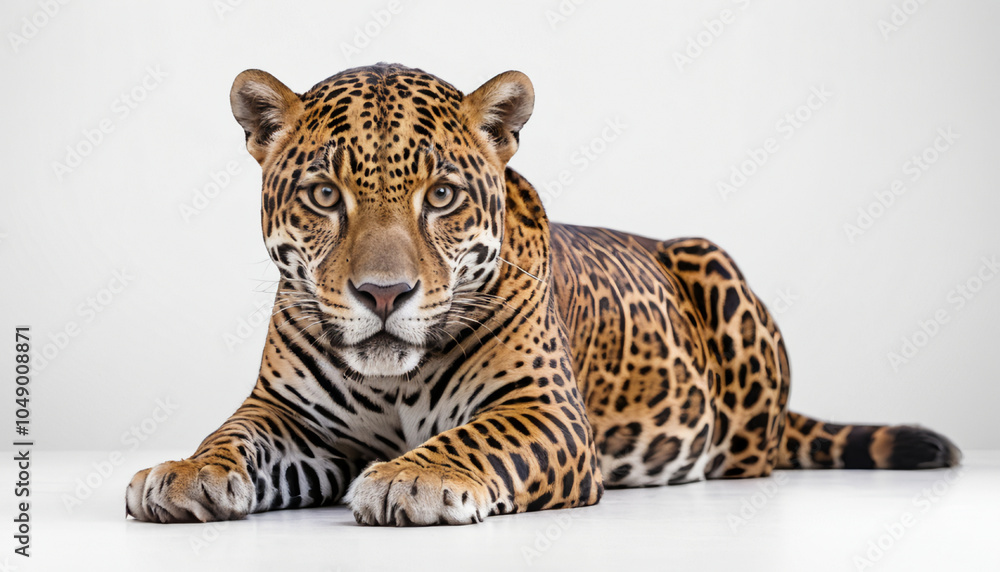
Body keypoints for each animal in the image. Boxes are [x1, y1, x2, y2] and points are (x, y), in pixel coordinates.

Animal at [126, 63, 960, 526]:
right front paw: (185, 473)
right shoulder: (291, 418)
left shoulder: (545, 412)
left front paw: (413, 477)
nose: (384, 294)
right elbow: (232, 436)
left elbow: (474, 438)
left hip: (713, 265)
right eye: (325, 195)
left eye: (441, 195)